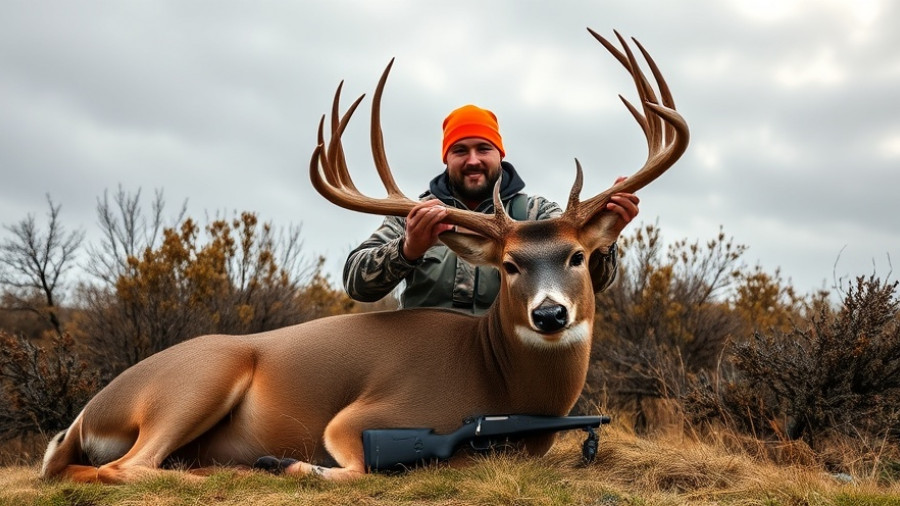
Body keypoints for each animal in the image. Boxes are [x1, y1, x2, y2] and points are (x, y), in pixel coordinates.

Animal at [40, 29, 688, 483]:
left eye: (578, 256)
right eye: (509, 266)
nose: (550, 314)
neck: (499, 379)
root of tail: (84, 416)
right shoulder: (364, 417)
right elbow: (358, 466)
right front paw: (288, 465)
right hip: (192, 381)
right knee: (125, 466)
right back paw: (240, 469)